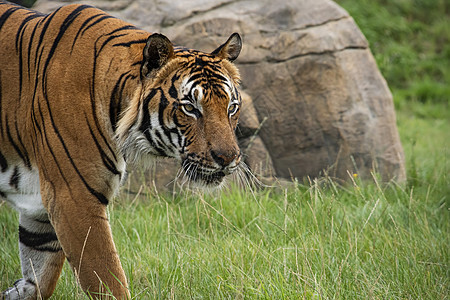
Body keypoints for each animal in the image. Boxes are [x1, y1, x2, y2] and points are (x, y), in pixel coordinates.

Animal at [0, 0, 244, 298]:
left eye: (232, 107)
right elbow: (107, 279)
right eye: (190, 108)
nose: (228, 158)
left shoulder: (39, 206)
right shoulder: (74, 197)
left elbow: (39, 277)